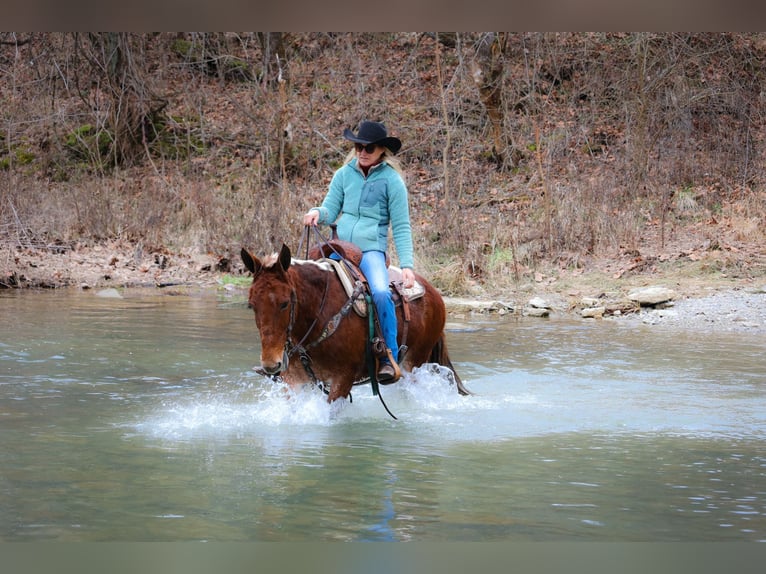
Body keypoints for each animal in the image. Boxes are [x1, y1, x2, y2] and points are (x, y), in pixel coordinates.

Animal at [242, 244, 474, 404]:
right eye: (251, 305)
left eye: (284, 303)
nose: (270, 364)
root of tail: (433, 292)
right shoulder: (294, 381)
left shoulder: (342, 379)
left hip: (413, 364)